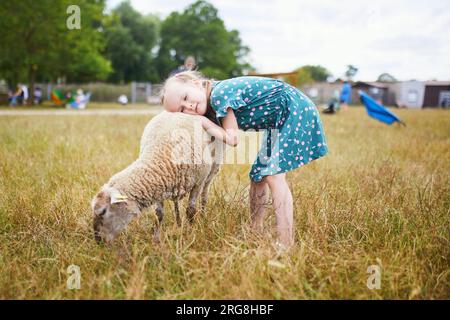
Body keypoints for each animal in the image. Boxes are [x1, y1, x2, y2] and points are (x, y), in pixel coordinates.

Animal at [92, 110, 222, 242]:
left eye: (103, 211)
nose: (98, 240)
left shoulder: (198, 182)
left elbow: (190, 210)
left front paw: (191, 231)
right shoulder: (159, 185)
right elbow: (159, 214)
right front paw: (156, 239)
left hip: (212, 170)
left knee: (204, 194)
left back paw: (202, 215)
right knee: (176, 203)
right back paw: (178, 223)